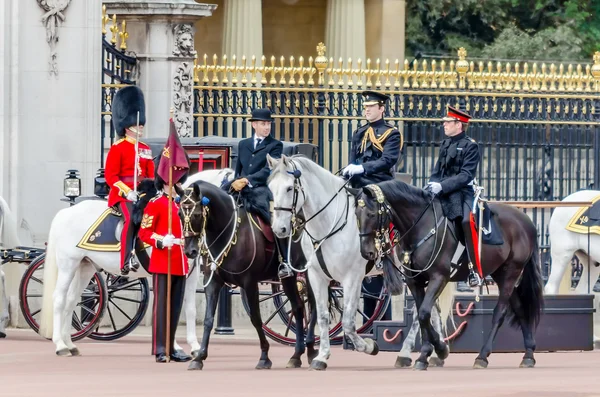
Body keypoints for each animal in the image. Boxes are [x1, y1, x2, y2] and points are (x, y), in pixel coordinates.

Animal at [38, 168, 233, 356]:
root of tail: (66, 212)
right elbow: (167, 307)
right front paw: (174, 347)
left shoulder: (189, 274)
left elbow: (189, 309)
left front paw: (193, 346)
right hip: (68, 264)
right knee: (59, 298)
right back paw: (60, 345)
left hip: (85, 266)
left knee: (71, 300)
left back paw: (70, 344)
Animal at [178, 181, 318, 370]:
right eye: (179, 213)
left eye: (198, 214)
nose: (190, 251)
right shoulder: (213, 282)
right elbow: (208, 319)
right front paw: (199, 357)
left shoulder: (250, 283)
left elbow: (256, 318)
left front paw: (264, 356)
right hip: (288, 279)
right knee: (298, 307)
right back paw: (297, 354)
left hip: (308, 273)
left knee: (315, 305)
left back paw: (310, 348)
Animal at [264, 154, 452, 368]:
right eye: (270, 187)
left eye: (289, 188)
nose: (279, 229)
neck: (329, 224)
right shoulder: (316, 276)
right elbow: (322, 316)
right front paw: (321, 356)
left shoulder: (352, 278)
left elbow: (347, 322)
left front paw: (369, 346)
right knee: (431, 307)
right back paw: (433, 352)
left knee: (421, 310)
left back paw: (413, 352)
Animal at [350, 181, 548, 370]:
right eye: (356, 214)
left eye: (372, 214)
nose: (366, 252)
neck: (420, 226)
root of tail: (526, 220)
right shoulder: (415, 281)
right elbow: (423, 314)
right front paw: (429, 352)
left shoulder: (439, 277)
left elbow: (424, 313)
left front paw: (437, 350)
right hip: (502, 274)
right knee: (520, 309)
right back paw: (528, 354)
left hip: (511, 272)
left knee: (500, 313)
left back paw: (482, 356)